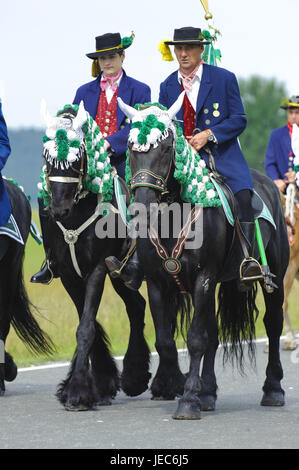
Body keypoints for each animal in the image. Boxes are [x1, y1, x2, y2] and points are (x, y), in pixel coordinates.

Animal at [39, 103, 151, 412]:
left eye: (77, 156)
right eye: (46, 156)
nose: (59, 209)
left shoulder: (99, 268)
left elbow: (87, 327)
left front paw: (77, 392)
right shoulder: (68, 273)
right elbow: (87, 323)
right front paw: (98, 383)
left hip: (121, 271)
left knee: (137, 306)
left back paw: (137, 377)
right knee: (136, 305)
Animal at [119, 97, 290, 420]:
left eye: (165, 148)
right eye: (131, 148)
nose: (142, 208)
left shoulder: (204, 277)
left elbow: (196, 339)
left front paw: (188, 401)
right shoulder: (158, 282)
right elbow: (167, 340)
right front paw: (179, 387)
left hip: (274, 273)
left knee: (273, 324)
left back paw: (273, 389)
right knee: (214, 333)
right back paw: (208, 393)